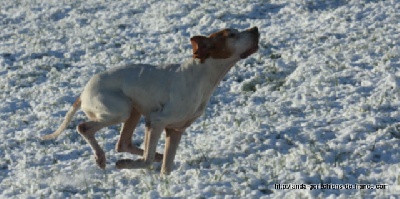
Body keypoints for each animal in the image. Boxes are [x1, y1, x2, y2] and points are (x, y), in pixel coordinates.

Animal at [40, 26, 260, 174]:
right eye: (231, 35)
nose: (255, 29)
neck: (201, 74)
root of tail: (83, 92)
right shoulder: (155, 121)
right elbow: (146, 159)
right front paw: (125, 164)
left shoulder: (175, 130)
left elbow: (166, 166)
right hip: (121, 110)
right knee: (84, 127)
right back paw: (102, 158)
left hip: (134, 112)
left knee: (123, 143)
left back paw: (151, 156)